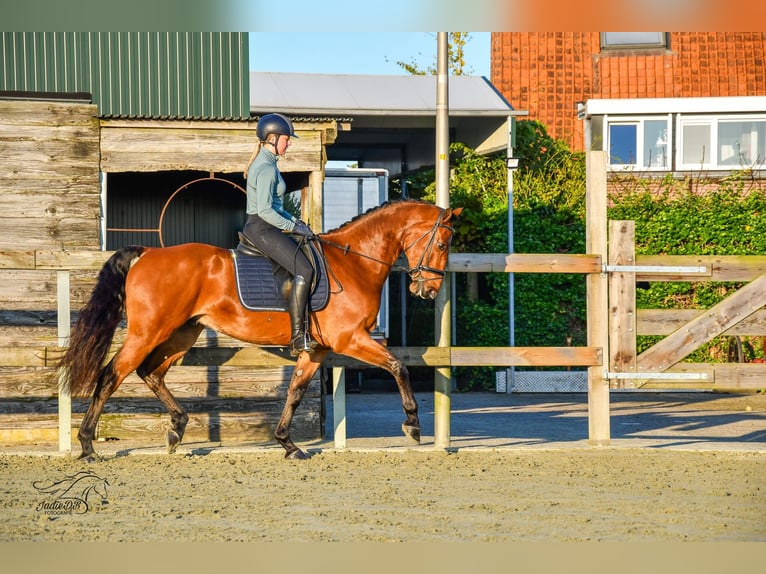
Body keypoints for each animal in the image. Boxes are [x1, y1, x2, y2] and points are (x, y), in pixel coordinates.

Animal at [58, 200, 462, 462]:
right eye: (442, 243)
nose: (428, 291)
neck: (354, 263)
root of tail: (147, 253)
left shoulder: (316, 349)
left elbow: (296, 392)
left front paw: (287, 444)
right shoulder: (350, 339)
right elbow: (399, 366)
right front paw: (412, 424)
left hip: (181, 334)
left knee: (150, 373)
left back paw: (176, 428)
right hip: (148, 332)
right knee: (111, 375)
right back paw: (88, 447)